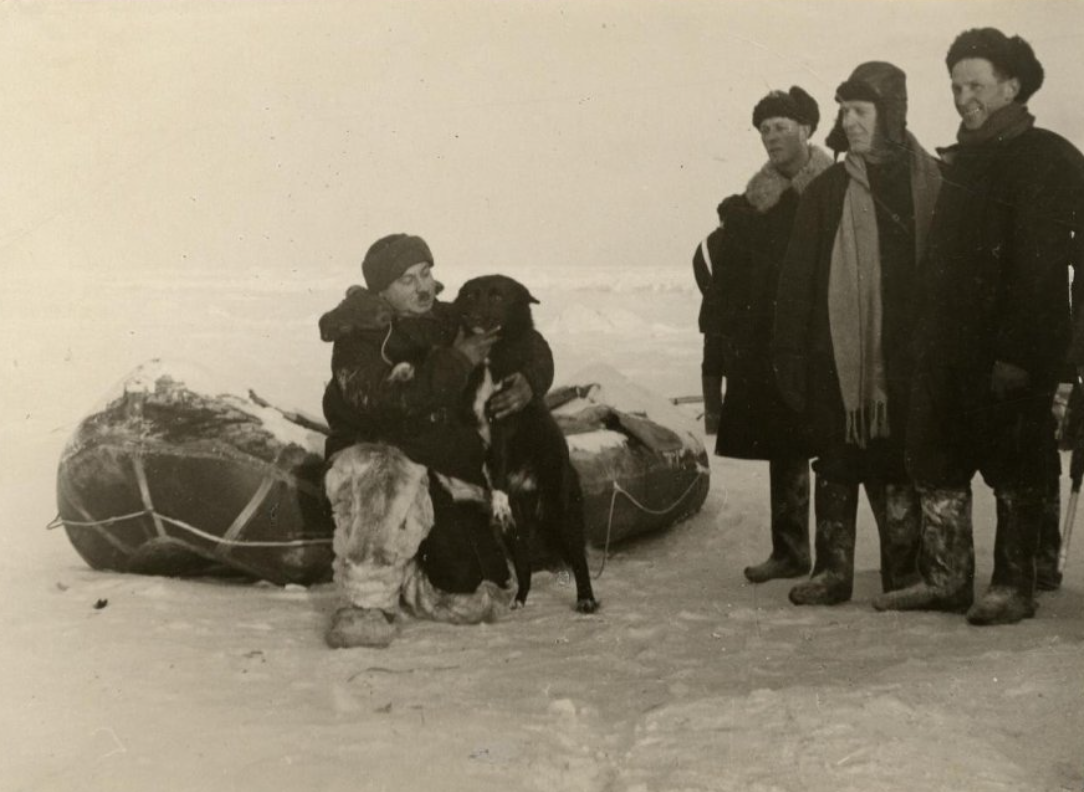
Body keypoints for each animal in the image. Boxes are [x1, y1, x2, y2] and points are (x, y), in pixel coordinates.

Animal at [453, 273, 598, 615]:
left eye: (496, 296)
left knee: (578, 558)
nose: (466, 313)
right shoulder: (471, 427)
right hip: (515, 533)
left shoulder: (505, 425)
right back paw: (519, 599)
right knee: (524, 565)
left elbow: (499, 468)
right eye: (469, 294)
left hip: (563, 515)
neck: (491, 359)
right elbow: (483, 465)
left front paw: (497, 496)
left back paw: (586, 599)